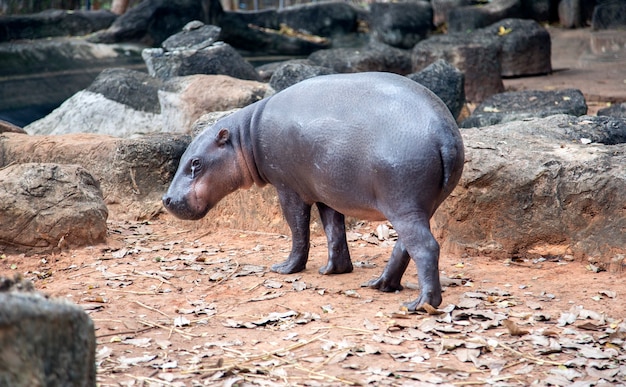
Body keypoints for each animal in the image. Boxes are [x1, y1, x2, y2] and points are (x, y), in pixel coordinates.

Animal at [162, 71, 464, 310]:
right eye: (183, 157)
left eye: (196, 163)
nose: (166, 199)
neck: (244, 137)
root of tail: (443, 130)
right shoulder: (327, 192)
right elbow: (334, 231)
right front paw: (333, 270)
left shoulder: (289, 189)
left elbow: (298, 230)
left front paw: (284, 269)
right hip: (421, 205)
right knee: (405, 246)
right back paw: (380, 284)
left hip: (403, 204)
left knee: (425, 247)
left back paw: (421, 304)